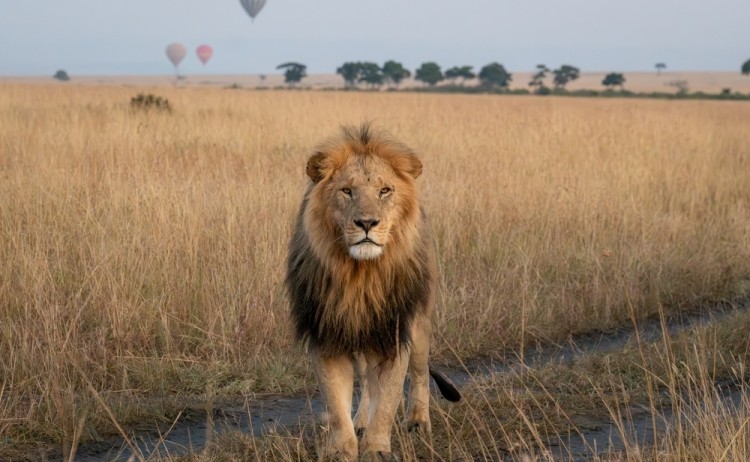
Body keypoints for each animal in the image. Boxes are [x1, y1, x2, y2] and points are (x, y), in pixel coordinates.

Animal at [286, 123, 460, 460]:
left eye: (385, 191)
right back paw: (362, 422)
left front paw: (377, 449)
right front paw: (341, 450)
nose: (366, 222)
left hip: (420, 321)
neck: (360, 275)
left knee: (419, 372)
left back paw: (418, 422)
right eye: (347, 191)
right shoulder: (326, 335)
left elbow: (388, 400)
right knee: (367, 381)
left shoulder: (394, 333)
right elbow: (336, 405)